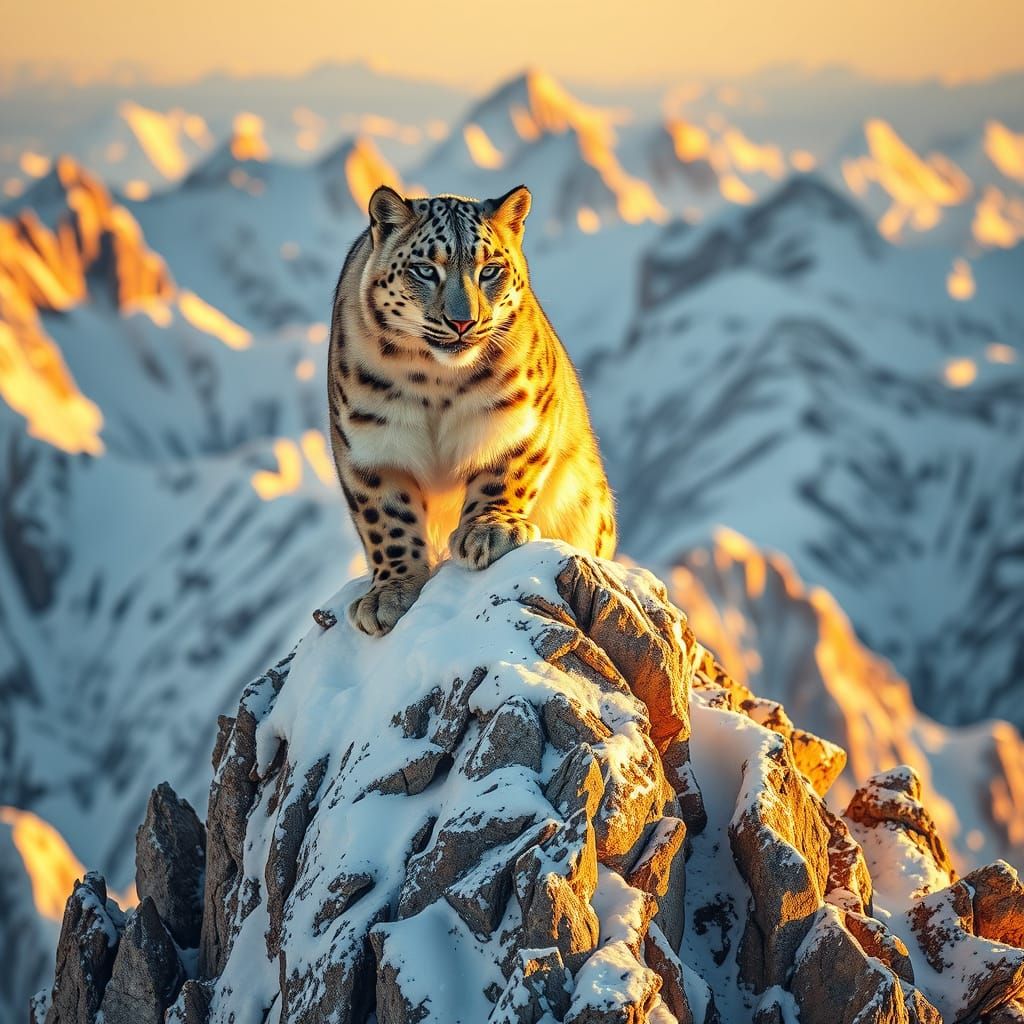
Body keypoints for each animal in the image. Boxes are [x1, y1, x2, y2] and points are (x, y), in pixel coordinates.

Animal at [327, 184, 616, 636]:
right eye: (425, 269)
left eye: (490, 269)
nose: (463, 321)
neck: (433, 382)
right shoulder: (368, 448)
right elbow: (386, 519)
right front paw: (388, 593)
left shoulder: (521, 421)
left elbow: (506, 473)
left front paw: (489, 532)